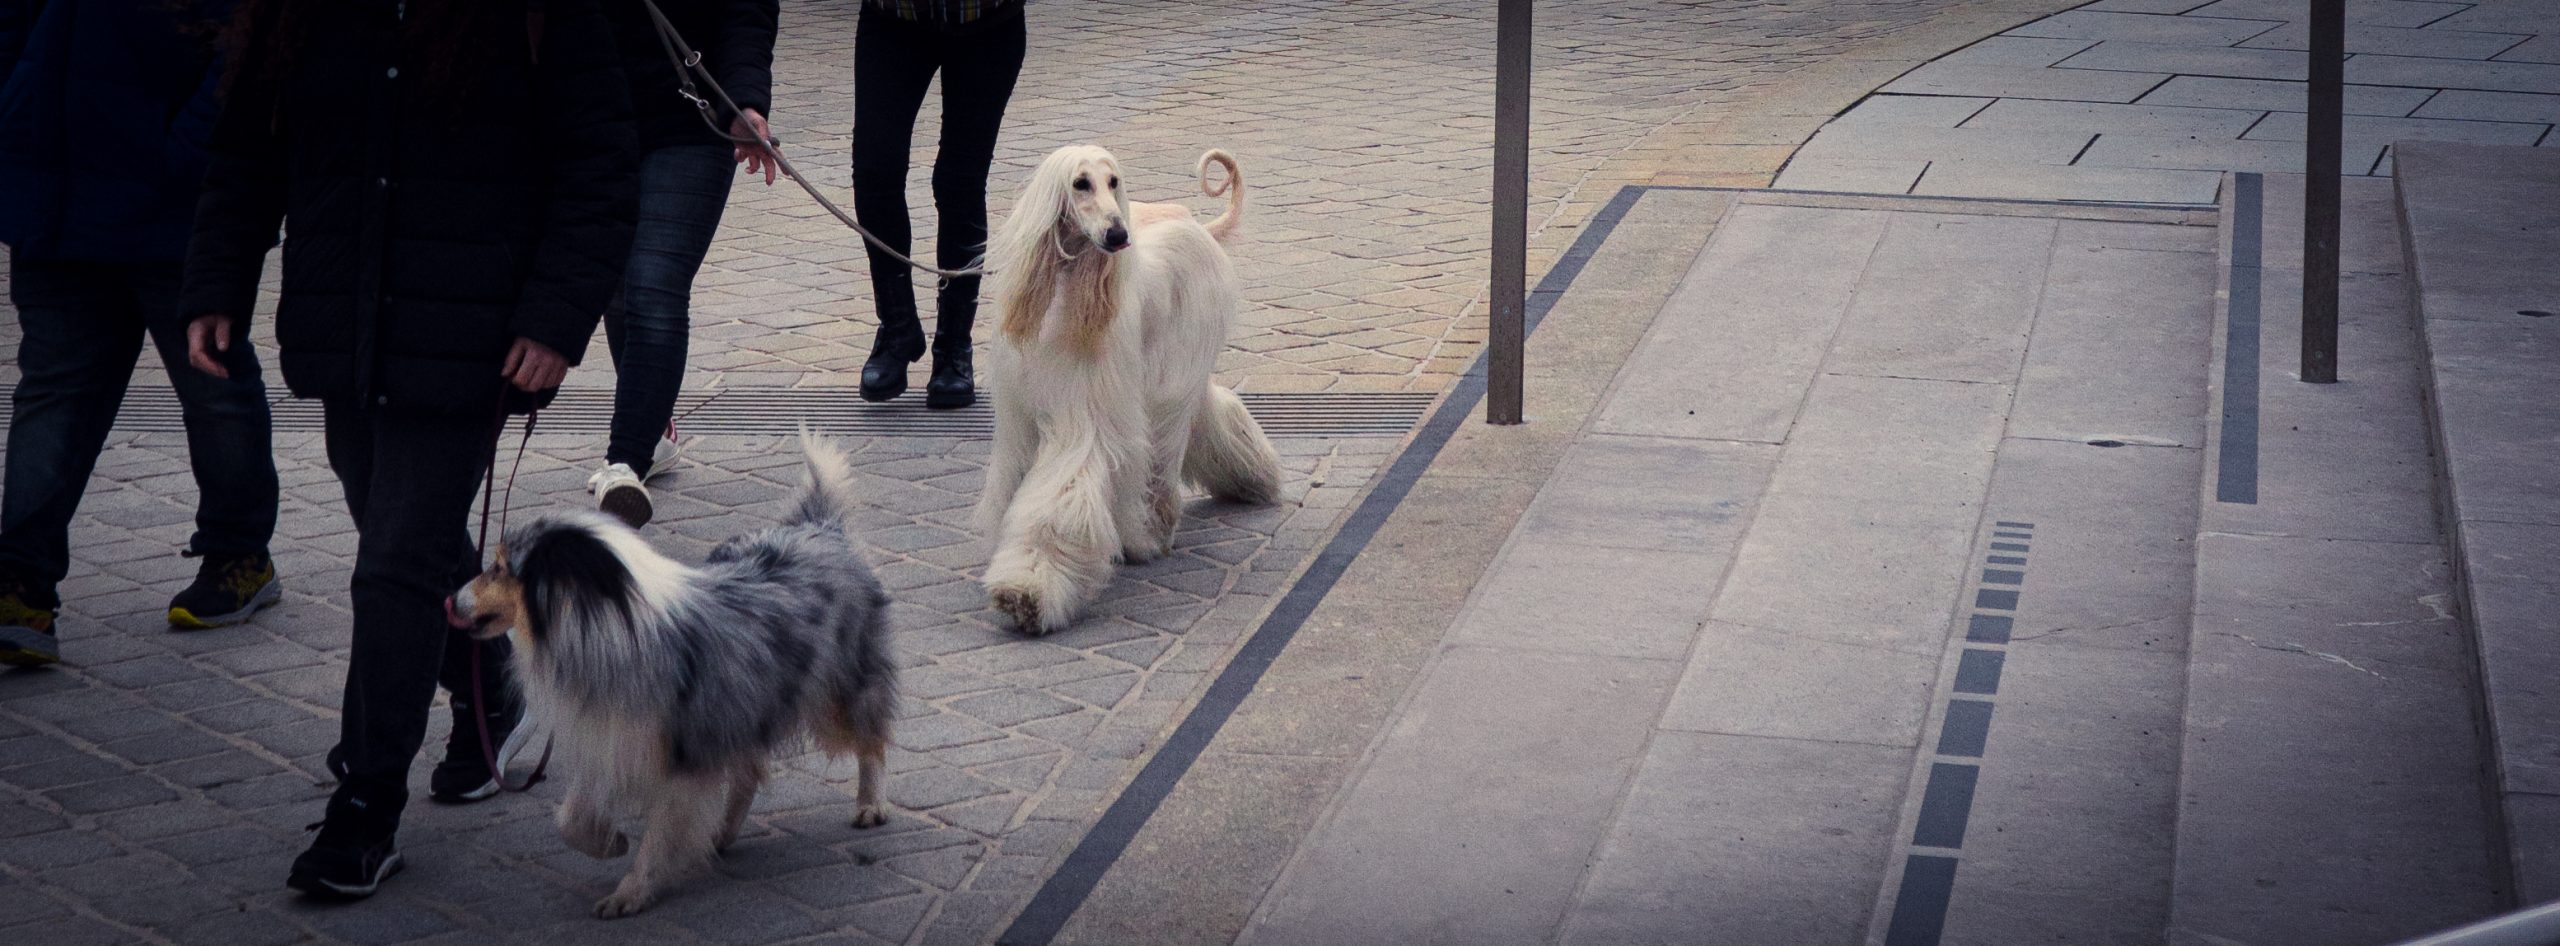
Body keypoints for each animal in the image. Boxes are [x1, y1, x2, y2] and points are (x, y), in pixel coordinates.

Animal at [446, 435, 897, 918]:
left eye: (498, 568)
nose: (450, 601)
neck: (604, 626)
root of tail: (820, 526)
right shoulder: (611, 741)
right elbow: (571, 818)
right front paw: (611, 843)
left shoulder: (681, 756)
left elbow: (660, 835)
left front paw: (631, 892)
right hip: (744, 709)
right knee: (747, 774)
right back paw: (722, 833)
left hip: (838, 688)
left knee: (870, 738)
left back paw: (870, 804)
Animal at [974, 145, 1284, 634]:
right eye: (1080, 184)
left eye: (1114, 181)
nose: (1118, 235)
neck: (1066, 290)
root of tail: (1198, 226)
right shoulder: (1021, 416)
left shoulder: (1085, 415)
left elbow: (1062, 493)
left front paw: (1029, 587)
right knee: (1206, 410)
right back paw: (1250, 473)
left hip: (1170, 373)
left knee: (1168, 442)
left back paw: (1154, 531)